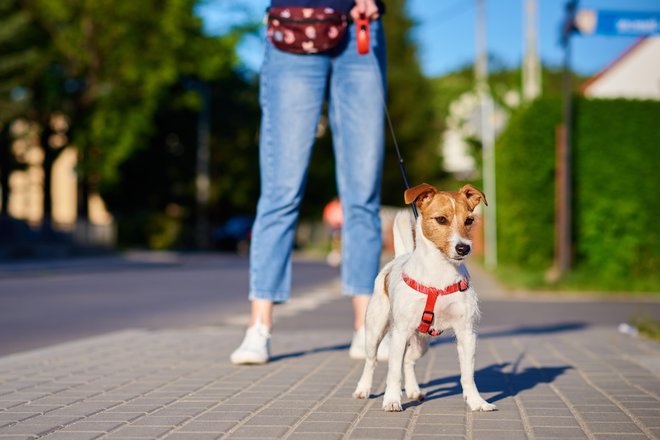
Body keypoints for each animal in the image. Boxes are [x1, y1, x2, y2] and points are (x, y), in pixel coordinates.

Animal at [350, 182, 496, 412]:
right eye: (441, 219)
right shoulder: (399, 332)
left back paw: (413, 390)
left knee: (409, 361)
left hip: (422, 343)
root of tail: (400, 256)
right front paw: (392, 400)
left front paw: (476, 401)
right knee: (371, 361)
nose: (464, 248)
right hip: (375, 331)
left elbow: (468, 374)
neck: (439, 275)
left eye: (469, 220)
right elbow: (393, 373)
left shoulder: (466, 333)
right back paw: (363, 389)